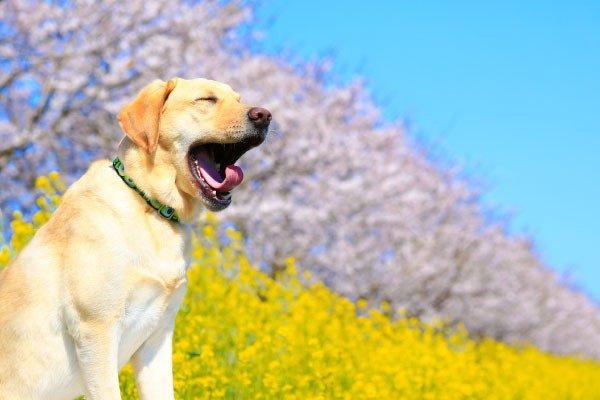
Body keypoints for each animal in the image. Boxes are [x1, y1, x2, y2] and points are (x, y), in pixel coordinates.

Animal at [0, 76, 270, 398]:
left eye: (239, 99)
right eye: (207, 100)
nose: (265, 115)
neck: (152, 207)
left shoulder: (157, 339)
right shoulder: (96, 329)